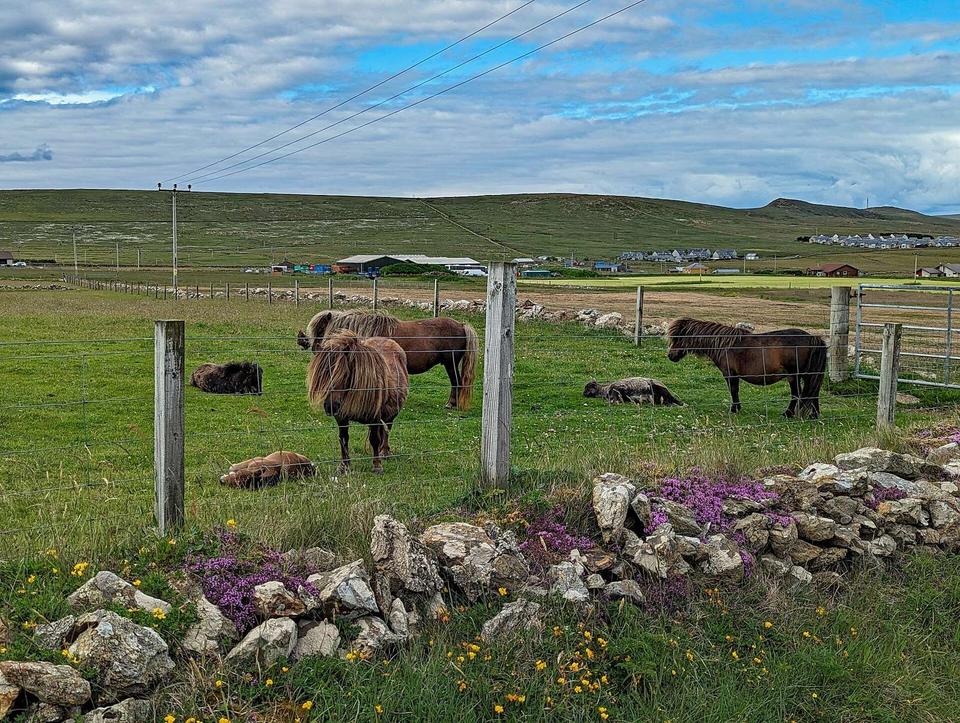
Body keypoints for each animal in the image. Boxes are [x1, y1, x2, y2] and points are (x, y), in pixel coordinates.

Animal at [297, 309, 477, 411]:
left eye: (321, 329)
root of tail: (461, 325)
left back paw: (451, 404)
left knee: (456, 382)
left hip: (450, 363)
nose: (314, 348)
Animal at [306, 330, 409, 474]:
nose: (331, 406)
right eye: (323, 375)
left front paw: (377, 465)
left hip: (391, 413)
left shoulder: (375, 417)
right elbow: (343, 439)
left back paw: (384, 452)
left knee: (387, 429)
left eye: (344, 375)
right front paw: (344, 466)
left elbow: (374, 439)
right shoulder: (341, 417)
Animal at [666, 318, 826, 418]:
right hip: (807, 375)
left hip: (794, 375)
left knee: (796, 394)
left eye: (678, 338)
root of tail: (813, 338)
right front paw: (736, 408)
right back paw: (814, 415)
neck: (724, 345)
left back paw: (788, 413)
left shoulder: (730, 374)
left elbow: (733, 391)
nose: (670, 356)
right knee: (814, 393)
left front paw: (734, 409)